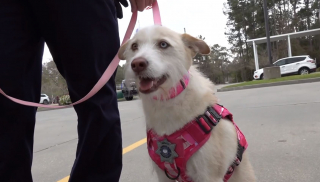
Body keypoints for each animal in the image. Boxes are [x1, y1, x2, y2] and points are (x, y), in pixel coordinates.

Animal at [117, 25, 255, 182]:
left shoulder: (209, 175)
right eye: (134, 46)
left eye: (163, 44)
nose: (137, 64)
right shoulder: (163, 175)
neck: (167, 103)